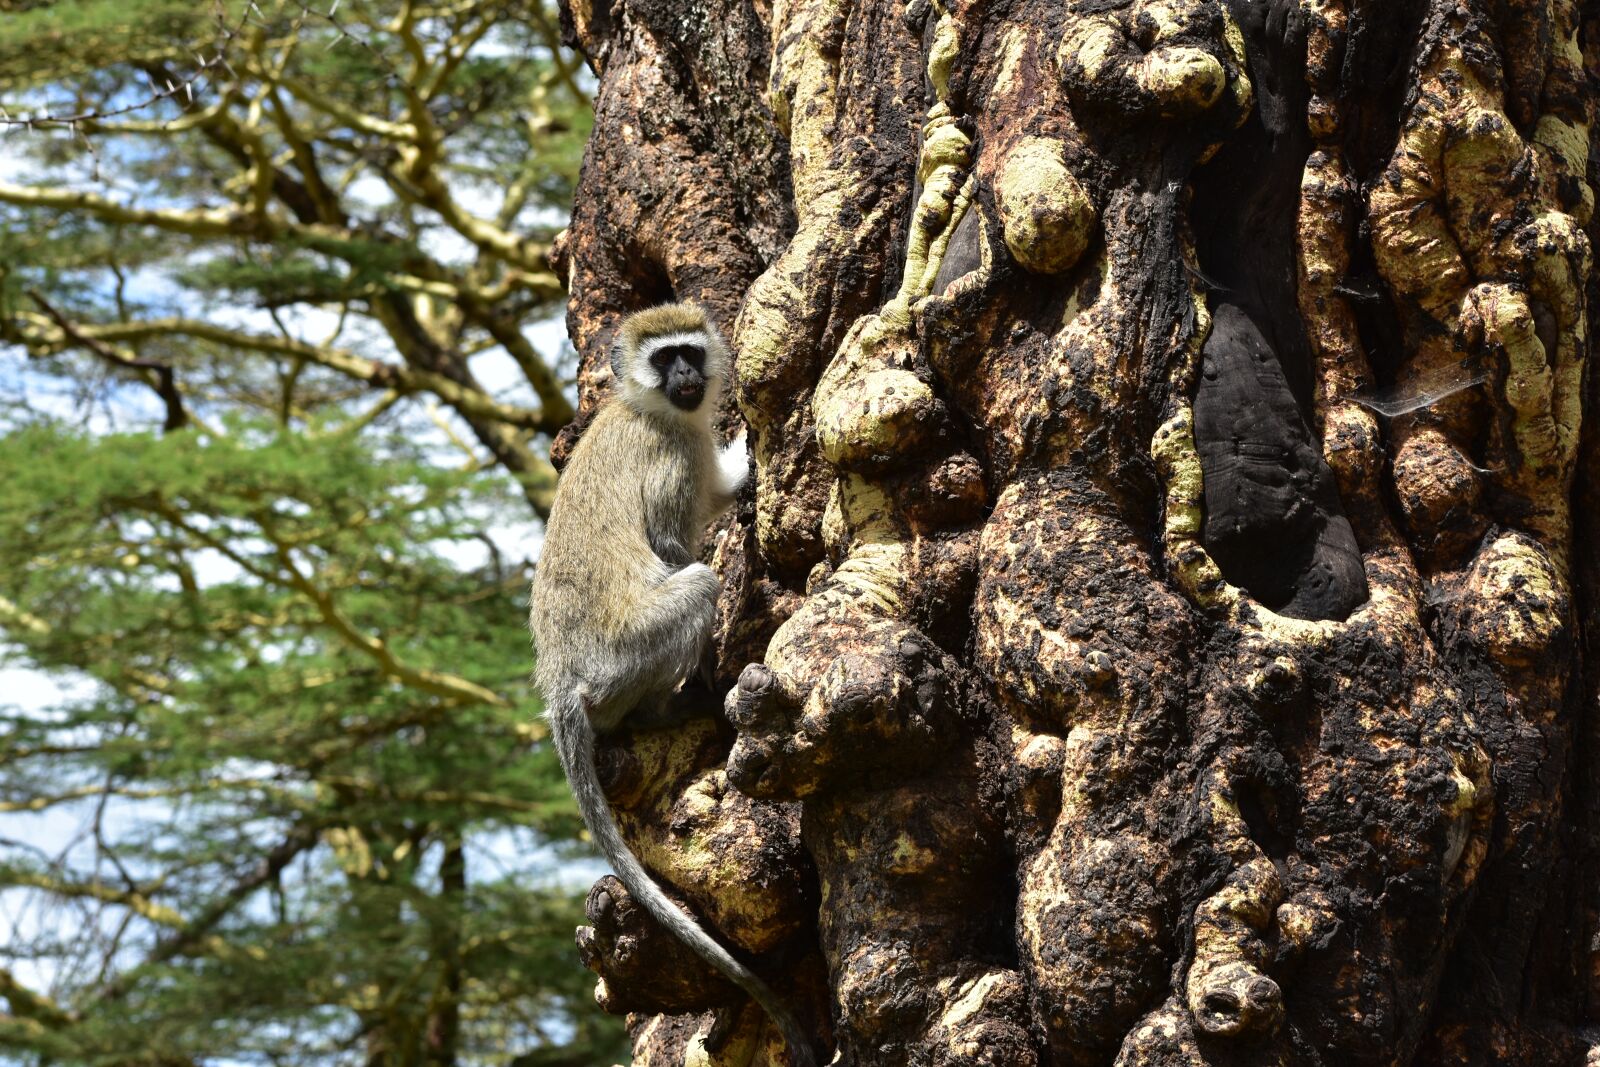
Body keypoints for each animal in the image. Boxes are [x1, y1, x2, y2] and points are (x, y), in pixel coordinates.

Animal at [529, 303, 816, 1067]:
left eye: (689, 350)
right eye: (665, 360)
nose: (688, 373)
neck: (647, 408)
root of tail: (561, 678)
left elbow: (720, 488)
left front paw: (745, 447)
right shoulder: (669, 459)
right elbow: (670, 544)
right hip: (625, 655)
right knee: (696, 585)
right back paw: (673, 704)